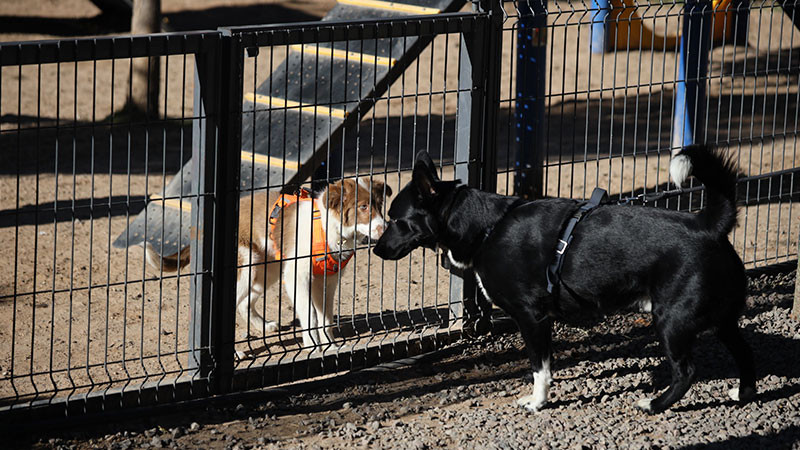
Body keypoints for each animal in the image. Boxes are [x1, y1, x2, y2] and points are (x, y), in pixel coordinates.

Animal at [148, 178, 394, 348]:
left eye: (379, 205)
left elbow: (325, 318)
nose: (385, 228)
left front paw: (330, 346)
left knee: (243, 303)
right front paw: (312, 347)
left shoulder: (326, 281)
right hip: (247, 266)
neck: (327, 227)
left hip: (266, 270)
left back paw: (264, 326)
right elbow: (310, 314)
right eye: (363, 207)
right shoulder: (298, 277)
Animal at [376, 146, 756, 414]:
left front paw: (537, 402)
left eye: (395, 219)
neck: (487, 226)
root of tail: (708, 224)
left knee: (686, 371)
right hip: (721, 318)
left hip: (672, 322)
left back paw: (653, 404)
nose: (377, 250)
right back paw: (743, 392)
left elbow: (539, 367)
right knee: (743, 350)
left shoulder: (532, 317)